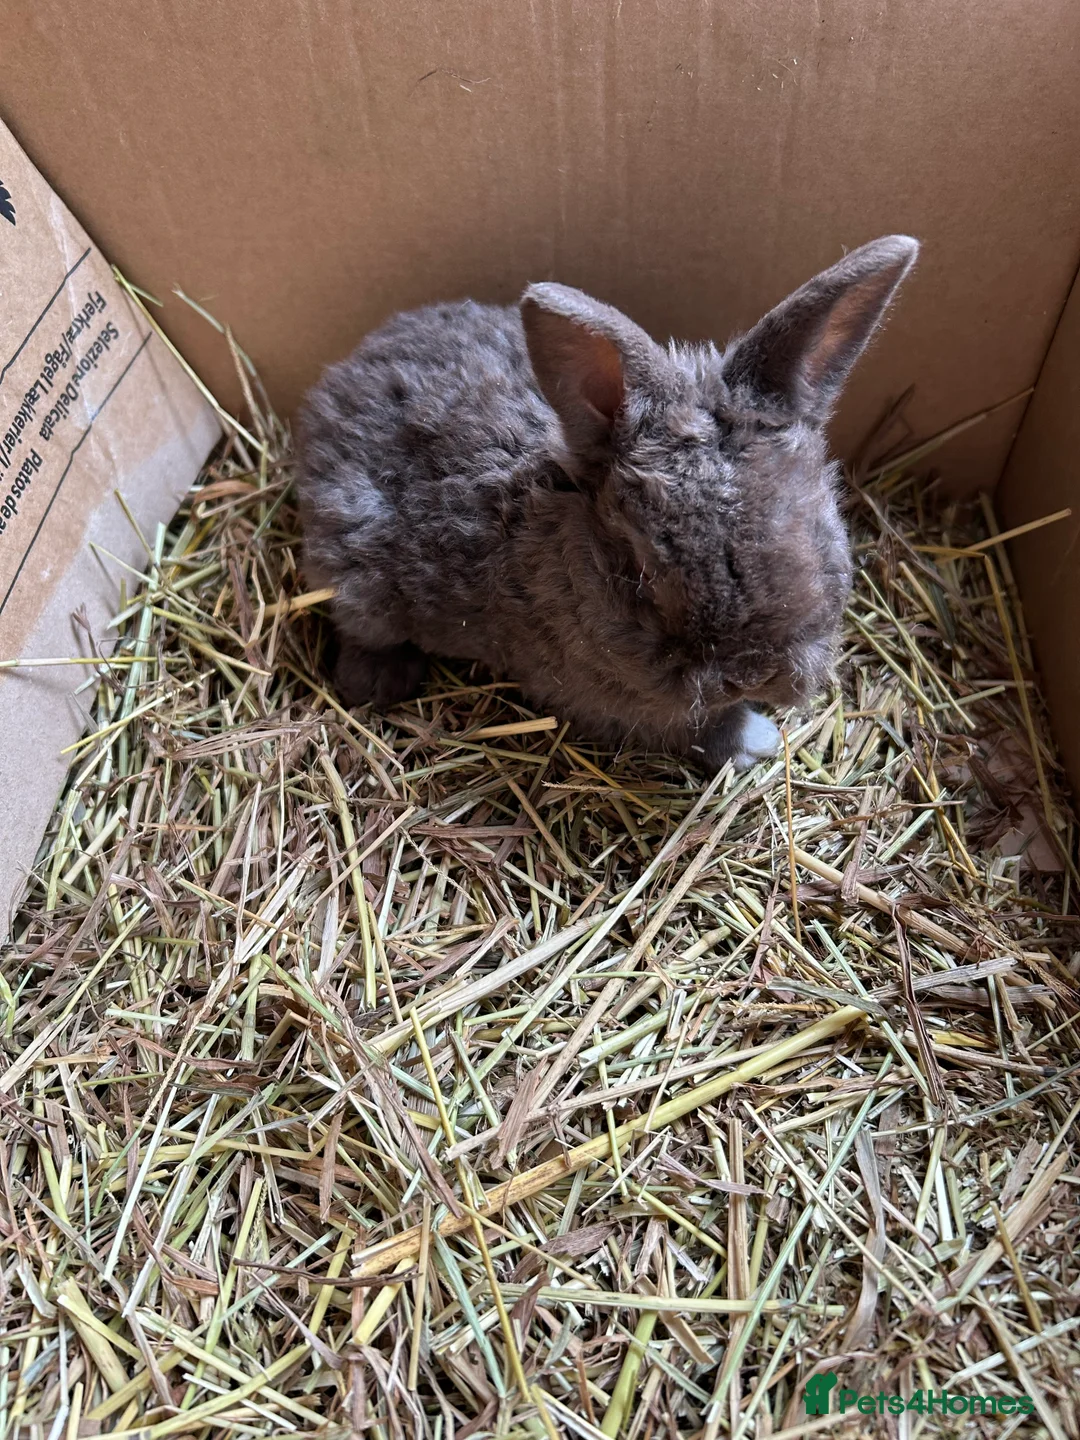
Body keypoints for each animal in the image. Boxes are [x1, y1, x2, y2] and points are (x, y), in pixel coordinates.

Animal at [297, 235, 918, 773]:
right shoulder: (607, 700)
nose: (750, 677)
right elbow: (692, 729)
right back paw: (383, 681)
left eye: (821, 526)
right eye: (642, 572)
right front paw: (754, 740)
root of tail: (340, 378)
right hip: (361, 577)